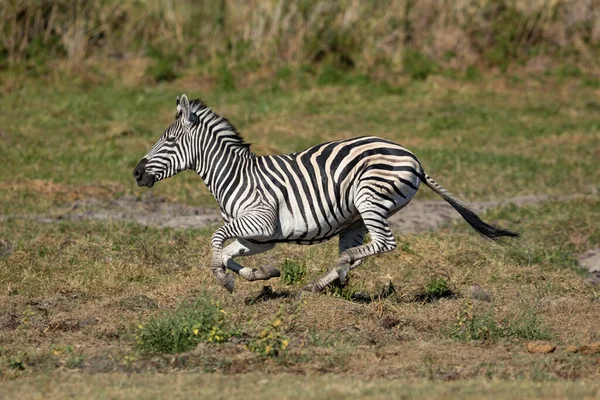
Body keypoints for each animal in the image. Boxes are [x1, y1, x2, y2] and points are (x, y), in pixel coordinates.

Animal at [134, 94, 516, 294]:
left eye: (169, 141)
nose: (136, 173)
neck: (236, 176)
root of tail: (413, 157)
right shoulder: (260, 238)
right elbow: (229, 251)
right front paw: (259, 275)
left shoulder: (260, 222)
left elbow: (216, 240)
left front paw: (223, 278)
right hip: (358, 216)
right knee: (368, 249)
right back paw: (321, 282)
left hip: (368, 198)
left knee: (383, 244)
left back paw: (338, 266)